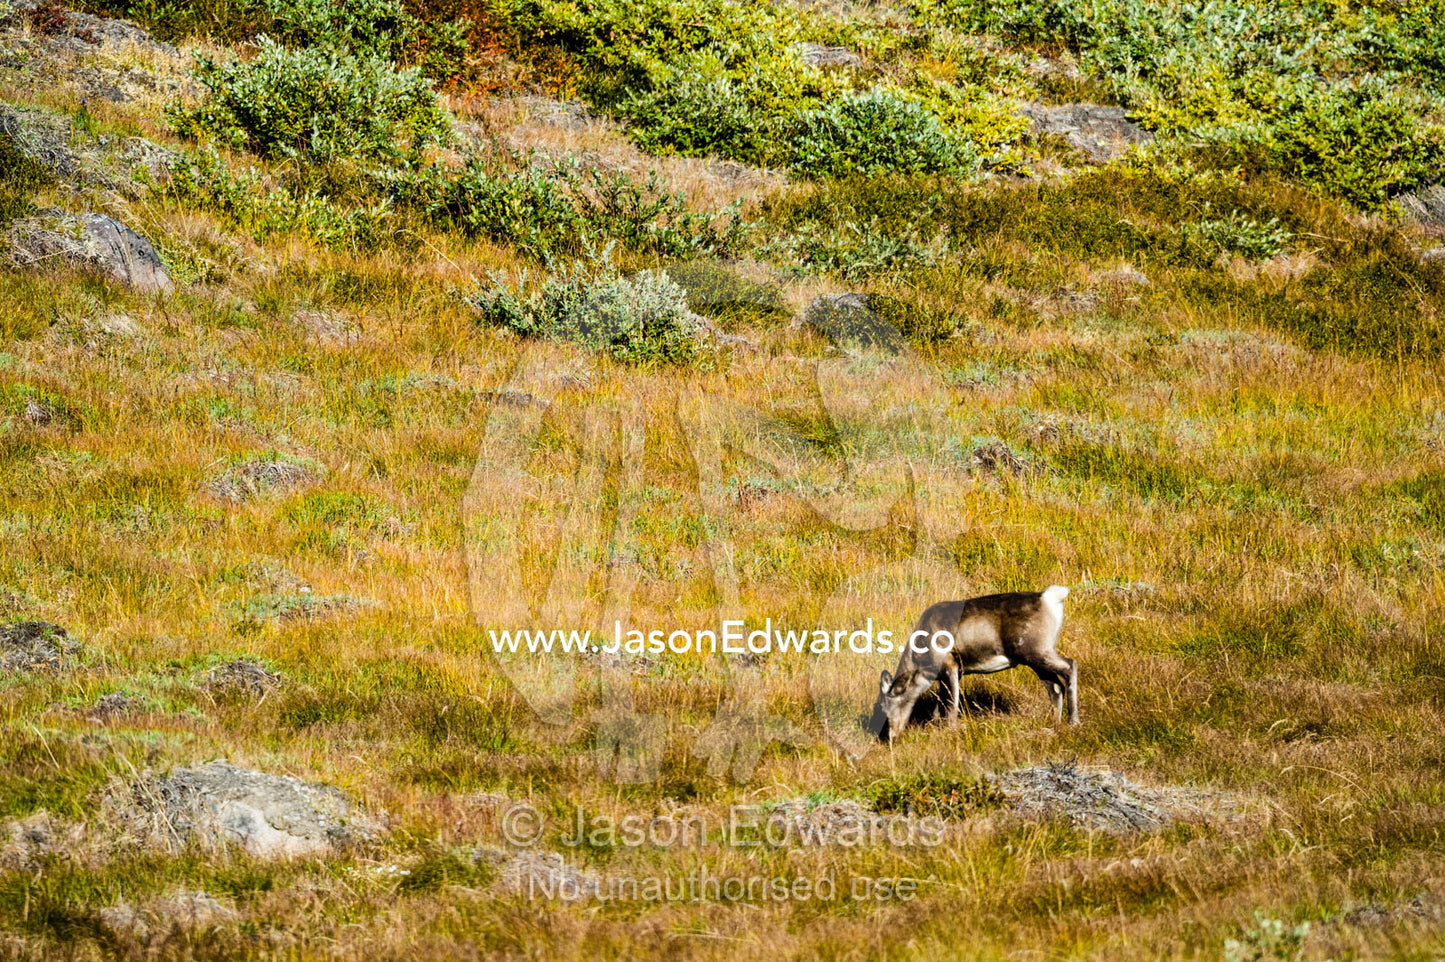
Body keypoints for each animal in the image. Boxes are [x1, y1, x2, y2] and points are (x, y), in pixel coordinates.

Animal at [876, 585, 1078, 741]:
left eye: (886, 706)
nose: (891, 737)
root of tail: (1049, 598)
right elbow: (939, 706)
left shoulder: (950, 665)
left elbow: (951, 706)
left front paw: (951, 731)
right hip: (1035, 658)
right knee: (1055, 688)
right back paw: (1056, 725)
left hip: (1036, 650)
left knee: (1070, 666)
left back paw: (1074, 721)